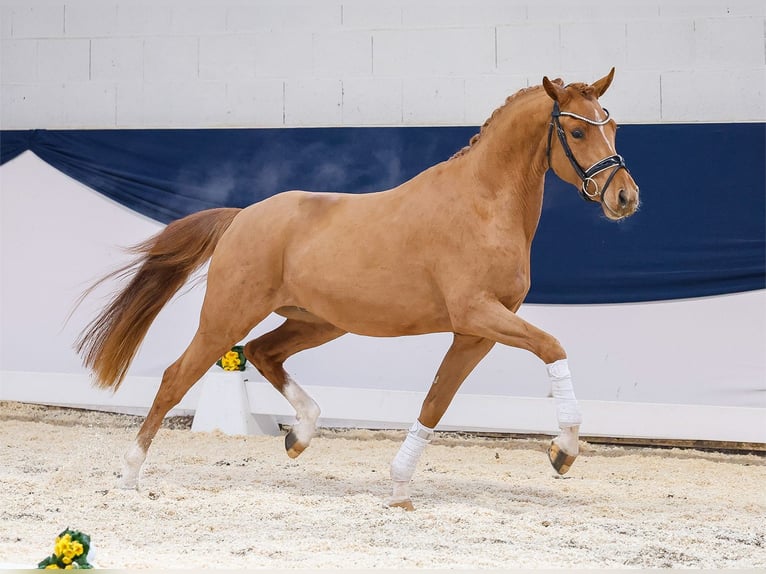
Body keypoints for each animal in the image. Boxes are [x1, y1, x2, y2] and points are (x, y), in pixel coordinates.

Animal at [78, 68, 640, 512]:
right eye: (575, 129)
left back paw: (300, 435)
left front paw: (400, 489)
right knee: (177, 377)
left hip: (317, 322)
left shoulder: (475, 332)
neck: (483, 205)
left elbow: (436, 403)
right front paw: (563, 450)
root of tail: (242, 216)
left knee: (263, 352)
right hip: (227, 315)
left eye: (612, 125)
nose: (625, 197)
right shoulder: (478, 314)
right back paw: (129, 475)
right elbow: (552, 346)